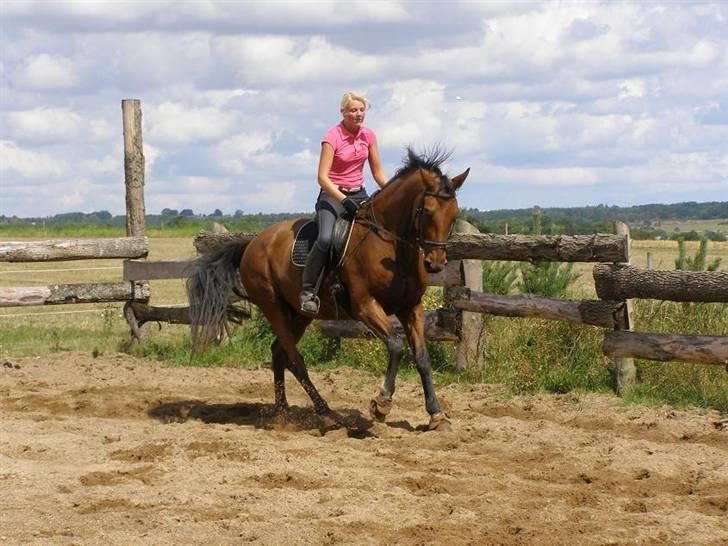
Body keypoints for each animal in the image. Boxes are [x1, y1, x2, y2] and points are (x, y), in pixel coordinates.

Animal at [188, 148, 470, 430]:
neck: (390, 245)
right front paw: (381, 405)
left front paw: (436, 415)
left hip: (299, 314)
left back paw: (282, 413)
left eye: (454, 214)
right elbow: (396, 346)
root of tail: (253, 243)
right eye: (427, 211)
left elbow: (422, 358)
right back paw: (326, 414)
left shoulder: (411, 308)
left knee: (279, 353)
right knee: (295, 360)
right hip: (273, 307)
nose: (435, 263)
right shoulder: (365, 306)